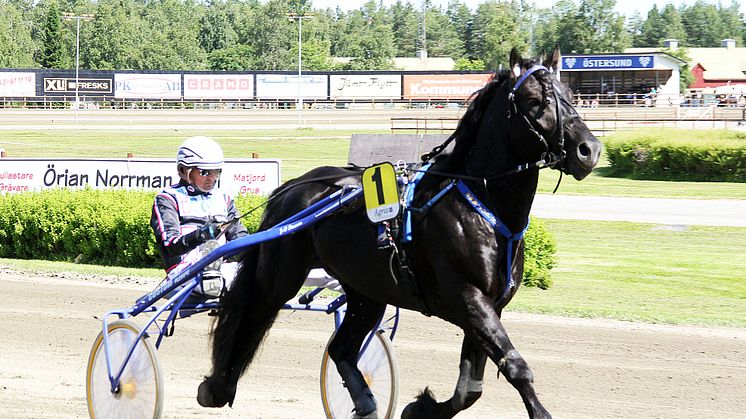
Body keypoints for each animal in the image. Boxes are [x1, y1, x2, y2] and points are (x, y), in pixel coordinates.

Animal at [196, 47, 600, 419]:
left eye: (569, 93)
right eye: (534, 101)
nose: (589, 149)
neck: (483, 205)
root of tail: (293, 186)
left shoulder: (489, 306)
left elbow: (470, 388)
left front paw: (420, 407)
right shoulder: (467, 298)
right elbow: (516, 367)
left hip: (366, 290)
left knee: (342, 348)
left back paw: (365, 401)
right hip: (279, 277)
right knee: (250, 318)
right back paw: (217, 387)